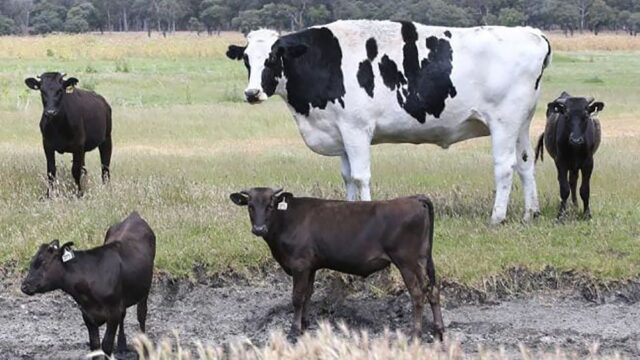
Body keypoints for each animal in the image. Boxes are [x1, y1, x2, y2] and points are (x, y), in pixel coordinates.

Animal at [20, 212, 156, 358]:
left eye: (43, 262)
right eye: (32, 262)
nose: (24, 286)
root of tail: (133, 216)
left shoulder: (113, 312)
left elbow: (106, 345)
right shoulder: (87, 314)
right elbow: (95, 345)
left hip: (145, 287)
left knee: (141, 313)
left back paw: (143, 347)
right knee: (124, 315)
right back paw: (121, 345)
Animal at [228, 19, 552, 224]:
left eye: (273, 57)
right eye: (246, 60)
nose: (252, 93)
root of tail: (532, 33)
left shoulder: (356, 128)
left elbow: (361, 176)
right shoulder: (340, 132)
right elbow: (347, 177)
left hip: (503, 121)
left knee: (504, 166)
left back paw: (497, 217)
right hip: (522, 122)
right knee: (525, 163)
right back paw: (530, 214)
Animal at [230, 187, 444, 342]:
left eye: (271, 205)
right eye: (250, 206)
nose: (259, 228)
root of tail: (414, 199)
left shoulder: (299, 265)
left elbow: (297, 297)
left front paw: (294, 330)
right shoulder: (310, 266)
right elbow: (308, 295)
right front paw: (305, 324)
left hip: (407, 261)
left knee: (418, 294)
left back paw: (415, 334)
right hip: (422, 260)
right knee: (432, 290)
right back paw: (439, 331)